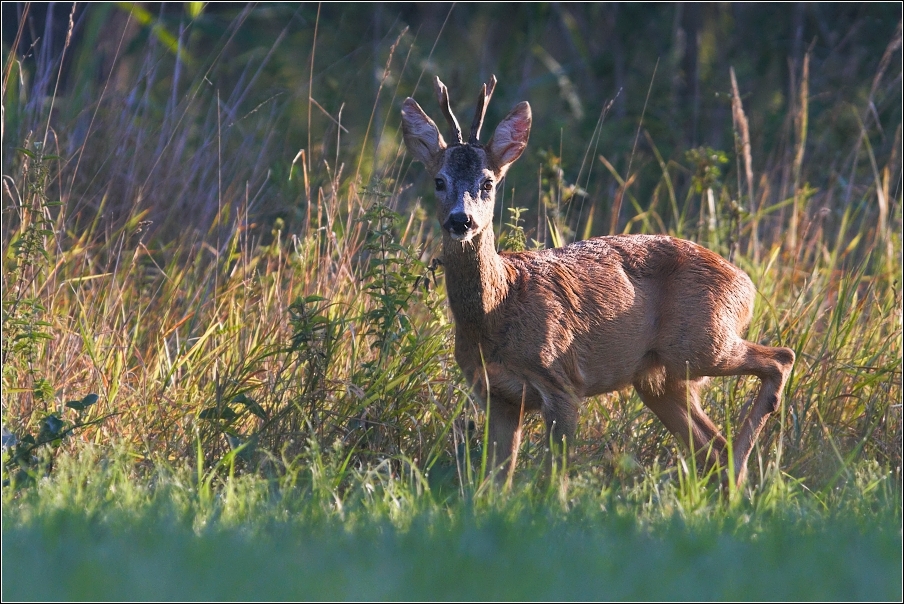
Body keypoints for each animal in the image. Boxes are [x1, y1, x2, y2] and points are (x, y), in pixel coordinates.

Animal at [400, 75, 796, 488]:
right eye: (439, 181)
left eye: (488, 183)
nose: (461, 220)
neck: (499, 306)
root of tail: (745, 283)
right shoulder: (497, 396)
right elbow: (495, 479)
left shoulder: (561, 381)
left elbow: (554, 475)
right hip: (661, 378)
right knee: (711, 445)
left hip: (702, 341)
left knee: (781, 358)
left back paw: (742, 468)